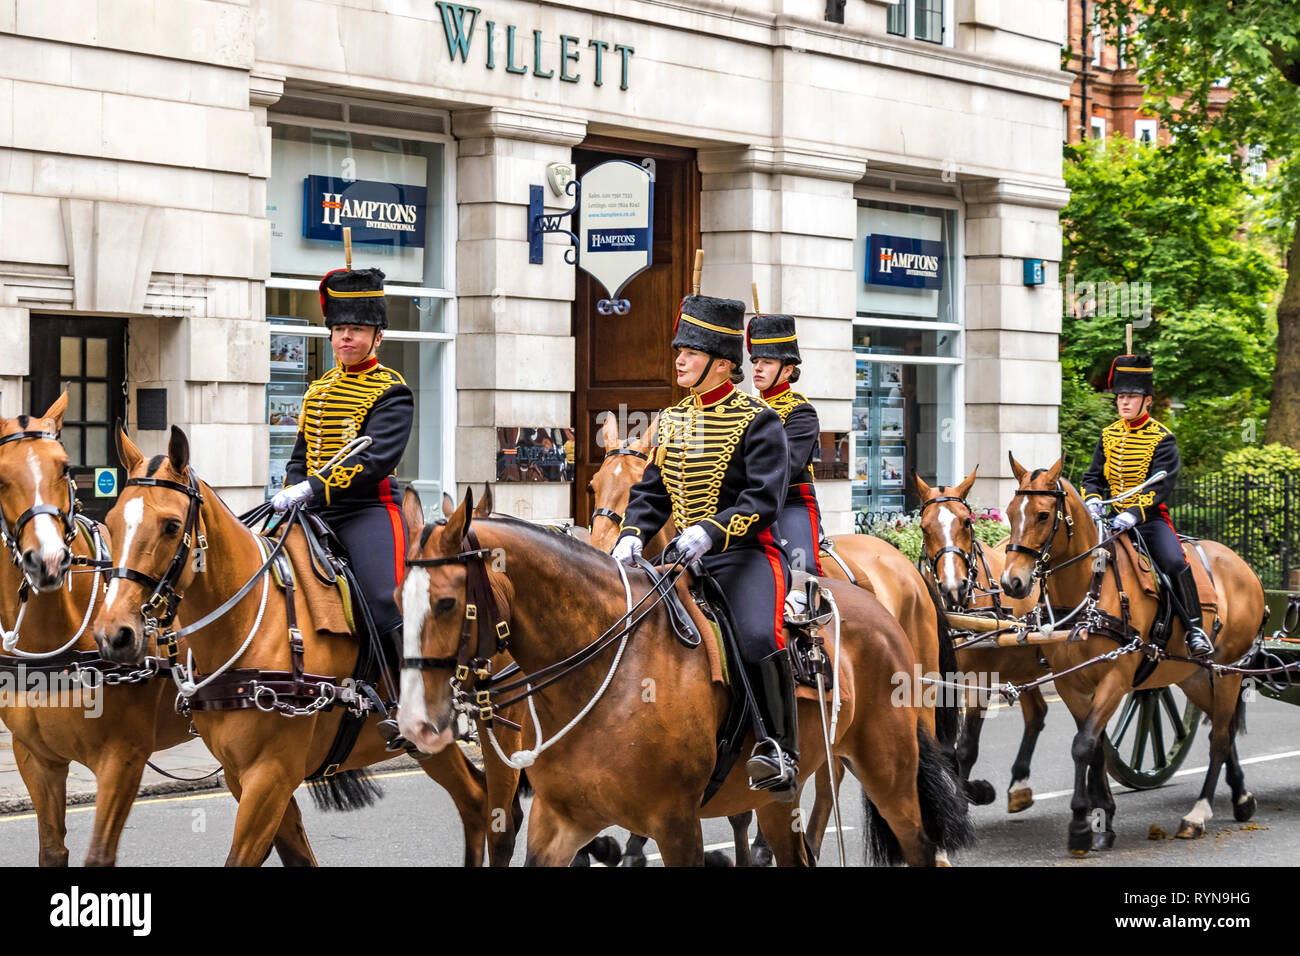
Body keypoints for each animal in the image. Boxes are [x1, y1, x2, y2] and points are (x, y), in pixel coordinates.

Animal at [0, 396, 194, 866]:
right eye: (0, 476)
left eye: (65, 467)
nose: (48, 561)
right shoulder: (37, 758)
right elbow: (52, 849)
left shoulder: (123, 758)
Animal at [90, 425, 523, 866]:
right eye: (110, 522)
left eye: (171, 525)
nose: (114, 633)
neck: (250, 620)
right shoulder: (243, 775)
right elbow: (296, 853)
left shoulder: (271, 774)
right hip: (430, 743)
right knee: (474, 801)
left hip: (503, 721)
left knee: (501, 819)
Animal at [398, 488, 974, 867]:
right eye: (401, 598)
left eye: (446, 603)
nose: (413, 723)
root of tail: (886, 598)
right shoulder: (557, 820)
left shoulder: (676, 825)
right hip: (778, 799)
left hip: (889, 771)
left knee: (920, 846)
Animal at [914, 468, 1050, 814]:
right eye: (924, 527)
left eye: (967, 521)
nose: (953, 587)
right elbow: (944, 746)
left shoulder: (978, 680)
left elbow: (966, 747)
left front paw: (969, 793)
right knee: (1037, 713)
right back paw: (1020, 783)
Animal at [1000, 455, 1267, 854]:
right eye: (1009, 511)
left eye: (1044, 515)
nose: (1011, 583)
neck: (1090, 587)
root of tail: (1242, 565)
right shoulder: (1071, 683)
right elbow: (1094, 747)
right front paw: (1102, 820)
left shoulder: (1115, 677)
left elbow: (1083, 745)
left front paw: (1080, 825)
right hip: (1193, 676)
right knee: (1226, 728)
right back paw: (1241, 797)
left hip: (1228, 670)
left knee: (1220, 737)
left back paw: (1198, 814)